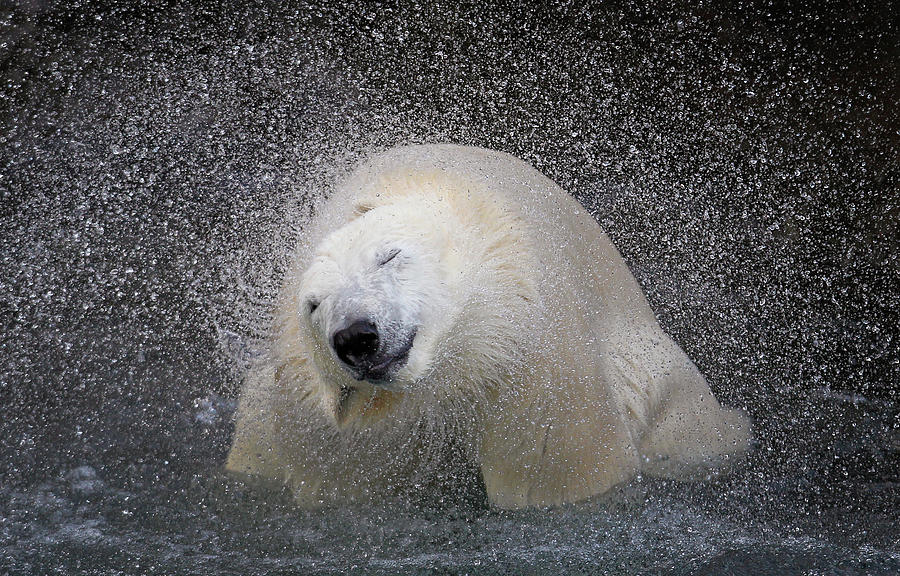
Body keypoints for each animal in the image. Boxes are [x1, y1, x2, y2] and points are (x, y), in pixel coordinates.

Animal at [227, 144, 752, 508]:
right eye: (313, 306)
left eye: (389, 256)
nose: (356, 335)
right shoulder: (315, 414)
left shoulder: (529, 345)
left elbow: (559, 465)